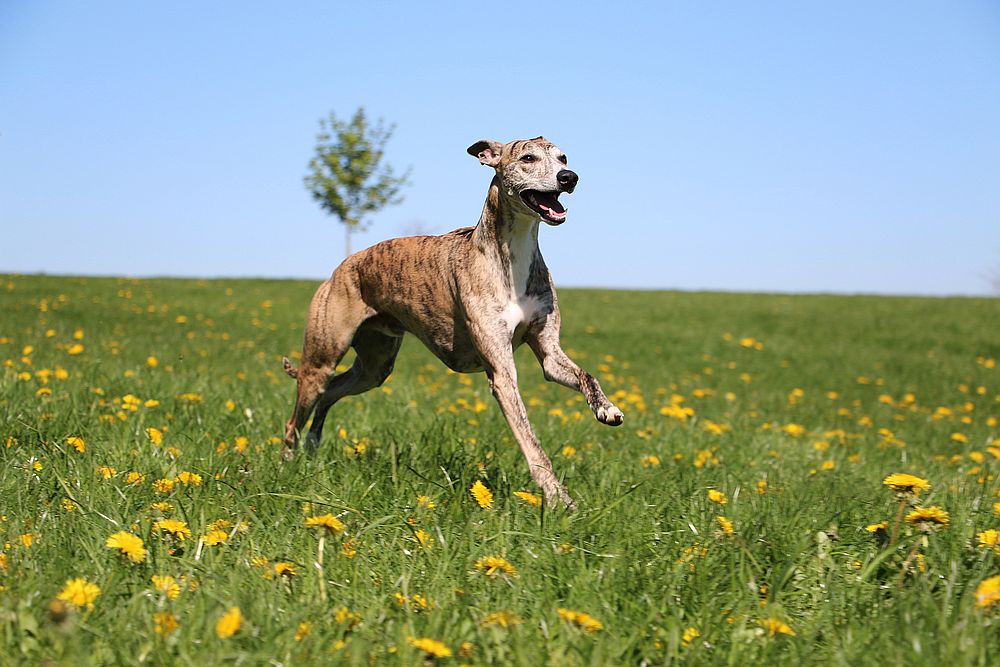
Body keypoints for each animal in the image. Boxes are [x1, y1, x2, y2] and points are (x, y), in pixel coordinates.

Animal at [284, 138, 624, 508]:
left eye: (563, 157)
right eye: (528, 158)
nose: (569, 178)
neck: (512, 254)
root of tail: (342, 267)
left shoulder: (549, 352)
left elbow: (585, 375)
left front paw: (606, 408)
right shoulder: (502, 374)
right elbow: (531, 442)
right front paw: (558, 498)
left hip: (375, 366)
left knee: (331, 393)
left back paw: (313, 446)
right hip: (321, 359)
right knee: (297, 415)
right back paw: (288, 465)